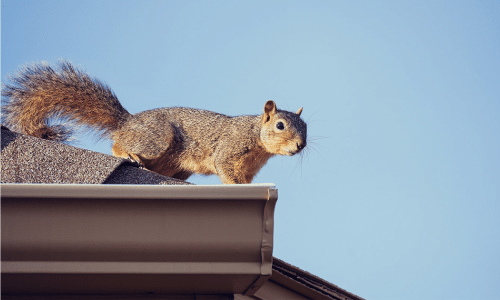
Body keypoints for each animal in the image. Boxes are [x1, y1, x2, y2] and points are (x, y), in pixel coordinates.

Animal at [1, 60, 306, 183]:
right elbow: (226, 170)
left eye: (306, 128)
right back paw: (128, 155)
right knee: (118, 145)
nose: (300, 146)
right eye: (280, 125)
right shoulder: (230, 149)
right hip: (157, 139)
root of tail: (127, 122)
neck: (257, 138)